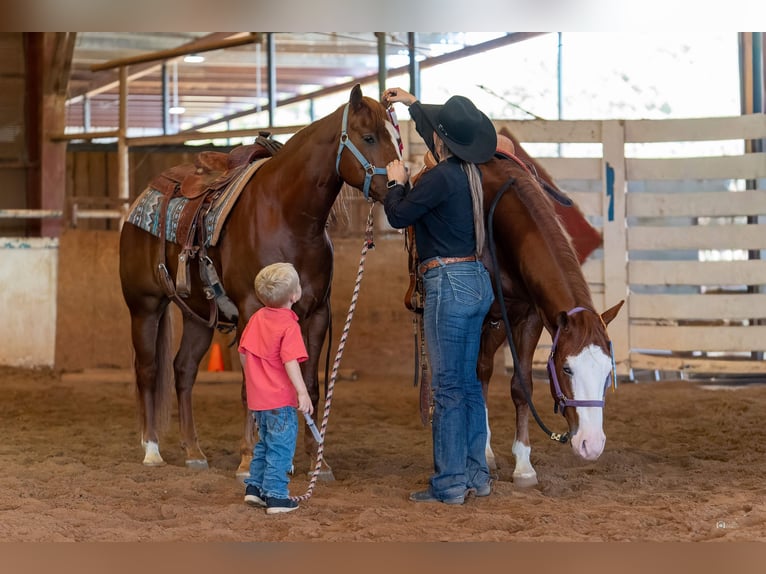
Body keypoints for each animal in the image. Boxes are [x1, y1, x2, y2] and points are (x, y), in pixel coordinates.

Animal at [119, 84, 402, 477]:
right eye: (370, 136)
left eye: (396, 136)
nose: (400, 185)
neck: (286, 214)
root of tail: (140, 201)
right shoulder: (251, 311)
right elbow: (249, 387)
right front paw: (248, 460)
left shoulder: (317, 314)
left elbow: (309, 385)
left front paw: (316, 462)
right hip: (144, 307)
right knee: (147, 369)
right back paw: (151, 450)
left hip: (198, 317)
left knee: (183, 370)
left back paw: (193, 451)